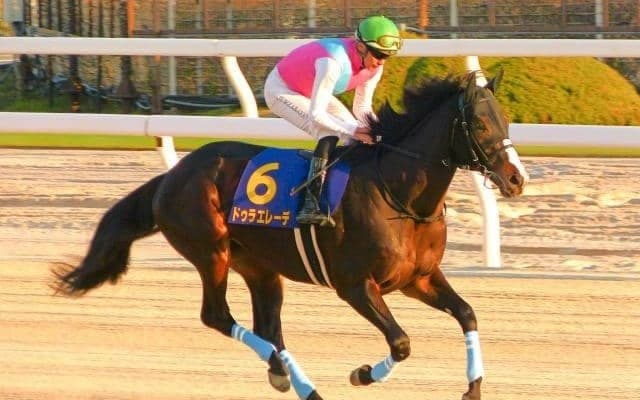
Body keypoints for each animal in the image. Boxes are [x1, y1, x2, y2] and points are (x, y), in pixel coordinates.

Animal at [53, 71, 528, 400]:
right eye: (480, 125)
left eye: (505, 119)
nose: (516, 178)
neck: (399, 194)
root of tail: (172, 176)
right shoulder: (356, 286)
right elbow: (402, 342)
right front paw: (362, 374)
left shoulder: (419, 278)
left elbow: (467, 314)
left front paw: (473, 387)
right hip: (210, 251)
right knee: (217, 316)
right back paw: (300, 381)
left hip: (260, 267)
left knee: (268, 326)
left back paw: (287, 376)